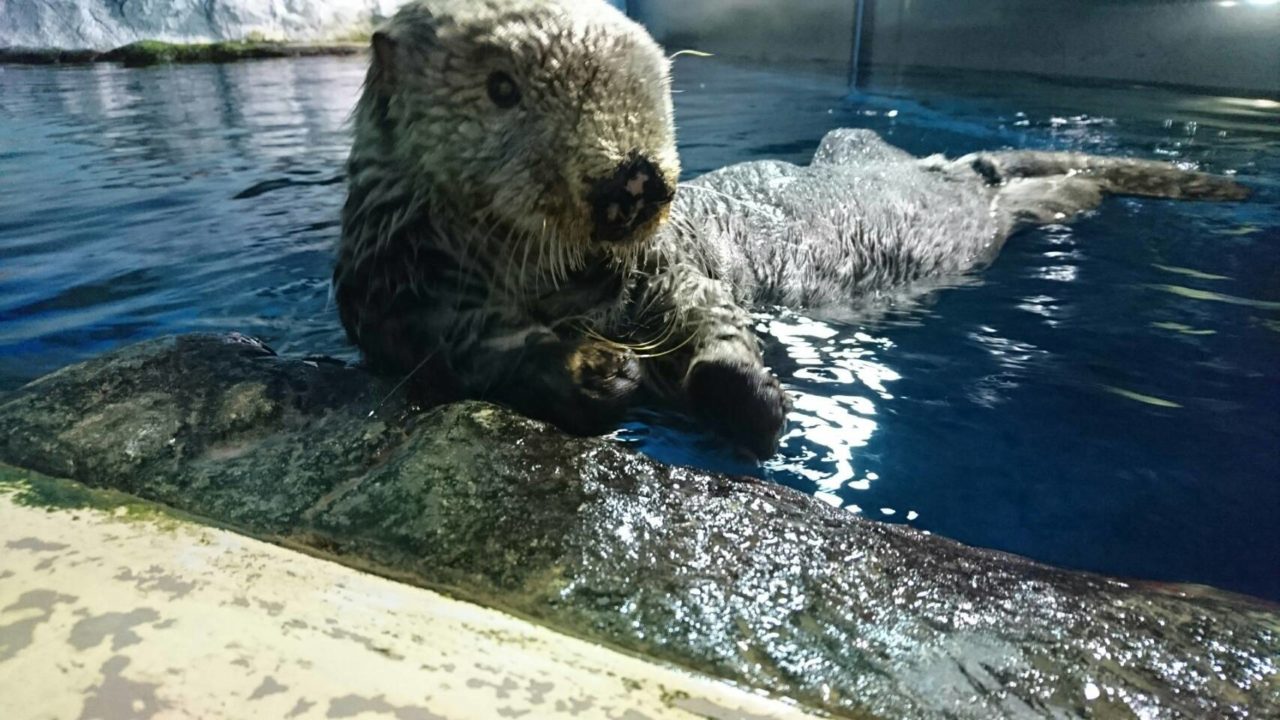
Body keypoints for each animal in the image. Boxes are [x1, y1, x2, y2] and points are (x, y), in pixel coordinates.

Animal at [330, 0, 1249, 456]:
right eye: (502, 88)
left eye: (653, 86)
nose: (636, 174)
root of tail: (957, 170)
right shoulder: (408, 302)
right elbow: (479, 359)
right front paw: (595, 374)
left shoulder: (667, 269)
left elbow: (708, 314)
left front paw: (751, 394)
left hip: (953, 199)